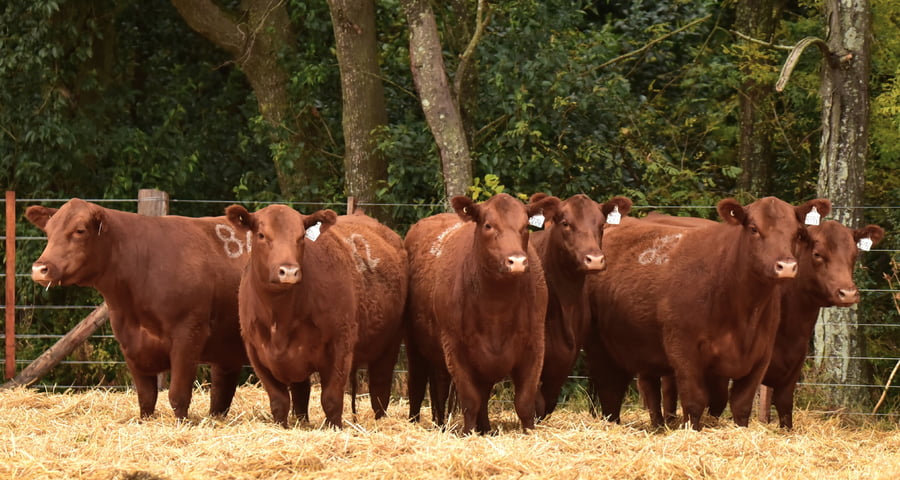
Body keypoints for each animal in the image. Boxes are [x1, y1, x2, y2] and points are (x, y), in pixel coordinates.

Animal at [26, 198, 250, 420]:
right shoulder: (129, 342)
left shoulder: (189, 335)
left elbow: (178, 395)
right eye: (48, 231)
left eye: (80, 230)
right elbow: (146, 396)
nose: (39, 269)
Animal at [225, 205, 406, 428]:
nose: (289, 271)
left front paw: (334, 428)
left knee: (380, 391)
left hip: (389, 346)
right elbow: (279, 401)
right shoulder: (256, 351)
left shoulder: (341, 344)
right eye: (261, 235)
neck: (280, 318)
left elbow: (331, 399)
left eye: (301, 236)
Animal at [404, 193, 560, 434]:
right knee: (418, 384)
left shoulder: (535, 346)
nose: (517, 261)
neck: (496, 309)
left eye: (525, 226)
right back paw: (417, 421)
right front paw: (468, 433)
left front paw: (528, 432)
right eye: (488, 225)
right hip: (415, 345)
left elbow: (524, 401)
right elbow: (470, 400)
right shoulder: (454, 348)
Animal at [584, 197, 831, 430]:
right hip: (602, 349)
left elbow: (740, 405)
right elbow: (695, 402)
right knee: (612, 393)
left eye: (797, 233)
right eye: (753, 228)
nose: (786, 266)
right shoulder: (684, 351)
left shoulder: (760, 356)